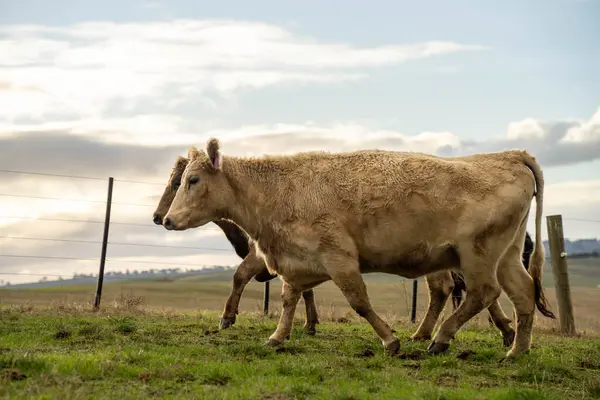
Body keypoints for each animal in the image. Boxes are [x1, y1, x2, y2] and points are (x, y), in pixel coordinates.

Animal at [163, 138, 552, 360]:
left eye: (192, 180)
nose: (166, 219)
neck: (278, 190)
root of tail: (510, 155)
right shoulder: (296, 261)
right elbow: (288, 301)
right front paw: (277, 337)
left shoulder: (339, 259)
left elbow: (360, 302)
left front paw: (390, 341)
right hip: (507, 255)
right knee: (522, 293)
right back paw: (516, 350)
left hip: (476, 255)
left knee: (482, 292)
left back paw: (440, 339)